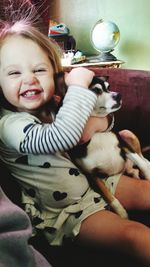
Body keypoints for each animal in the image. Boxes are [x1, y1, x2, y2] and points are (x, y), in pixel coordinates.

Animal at [54, 73, 150, 220]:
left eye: (108, 87)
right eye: (96, 90)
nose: (119, 95)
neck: (96, 133)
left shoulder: (124, 145)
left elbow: (141, 163)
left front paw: (149, 174)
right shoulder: (91, 175)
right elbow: (108, 195)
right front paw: (121, 212)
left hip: (127, 133)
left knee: (143, 158)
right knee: (134, 170)